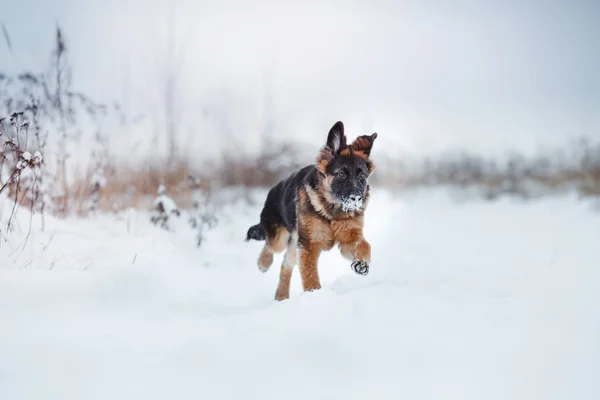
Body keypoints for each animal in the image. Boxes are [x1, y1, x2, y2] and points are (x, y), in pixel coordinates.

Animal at [246, 121, 378, 300]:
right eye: (341, 174)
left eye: (362, 176)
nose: (356, 199)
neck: (332, 211)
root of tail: (274, 188)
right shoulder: (309, 246)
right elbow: (310, 276)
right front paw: (315, 295)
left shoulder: (348, 238)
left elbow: (364, 244)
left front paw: (362, 263)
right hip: (282, 238)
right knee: (270, 245)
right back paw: (263, 263)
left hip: (295, 245)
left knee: (286, 264)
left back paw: (281, 296)